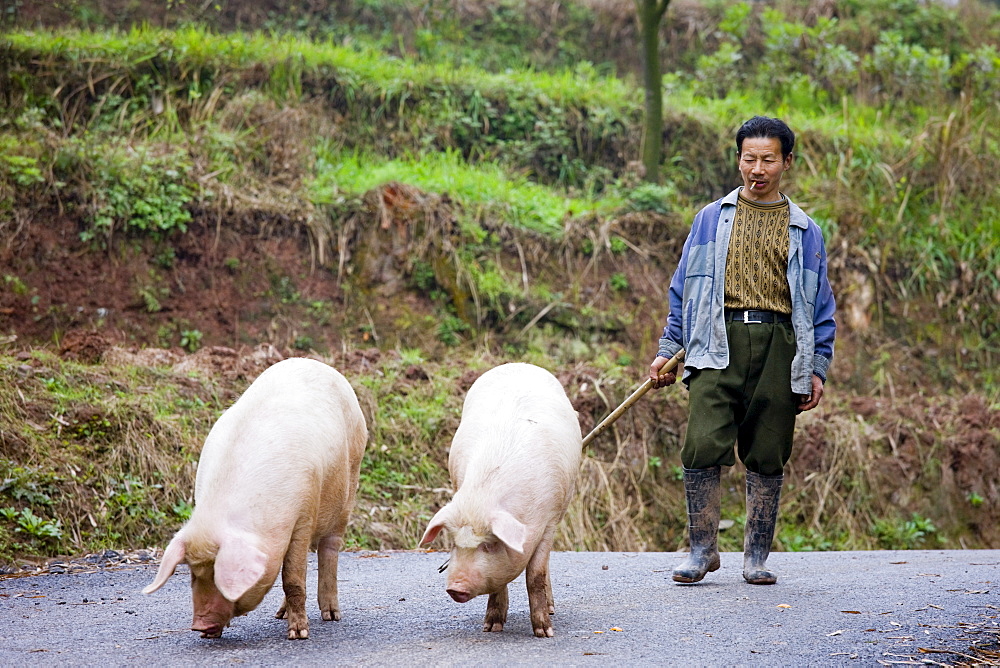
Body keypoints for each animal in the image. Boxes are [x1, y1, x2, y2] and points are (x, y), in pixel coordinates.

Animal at [143, 358, 370, 640]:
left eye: (219, 574)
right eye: (193, 574)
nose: (199, 626)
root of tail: (318, 364)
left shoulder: (303, 515)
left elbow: (292, 578)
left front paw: (298, 635)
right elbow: (291, 573)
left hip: (348, 488)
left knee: (329, 549)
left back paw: (331, 616)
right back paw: (279, 615)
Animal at [418, 362, 584, 640]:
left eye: (488, 544)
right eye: (453, 544)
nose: (455, 587)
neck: (483, 497)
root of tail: (520, 364)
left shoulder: (548, 520)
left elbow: (535, 575)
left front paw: (544, 633)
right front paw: (491, 627)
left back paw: (551, 610)